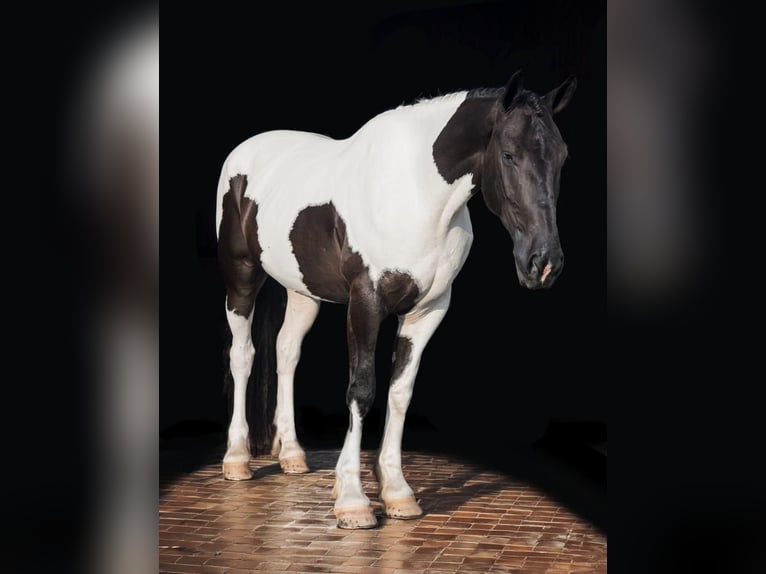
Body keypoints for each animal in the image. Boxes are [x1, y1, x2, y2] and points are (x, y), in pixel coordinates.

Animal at [214, 71, 576, 532]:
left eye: (562, 157)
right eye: (509, 154)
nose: (544, 263)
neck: (417, 194)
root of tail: (245, 154)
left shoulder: (428, 311)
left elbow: (400, 391)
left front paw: (397, 492)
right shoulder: (365, 303)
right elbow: (362, 390)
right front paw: (352, 500)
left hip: (302, 291)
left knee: (286, 352)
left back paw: (292, 455)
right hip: (241, 278)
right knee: (242, 355)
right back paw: (237, 459)